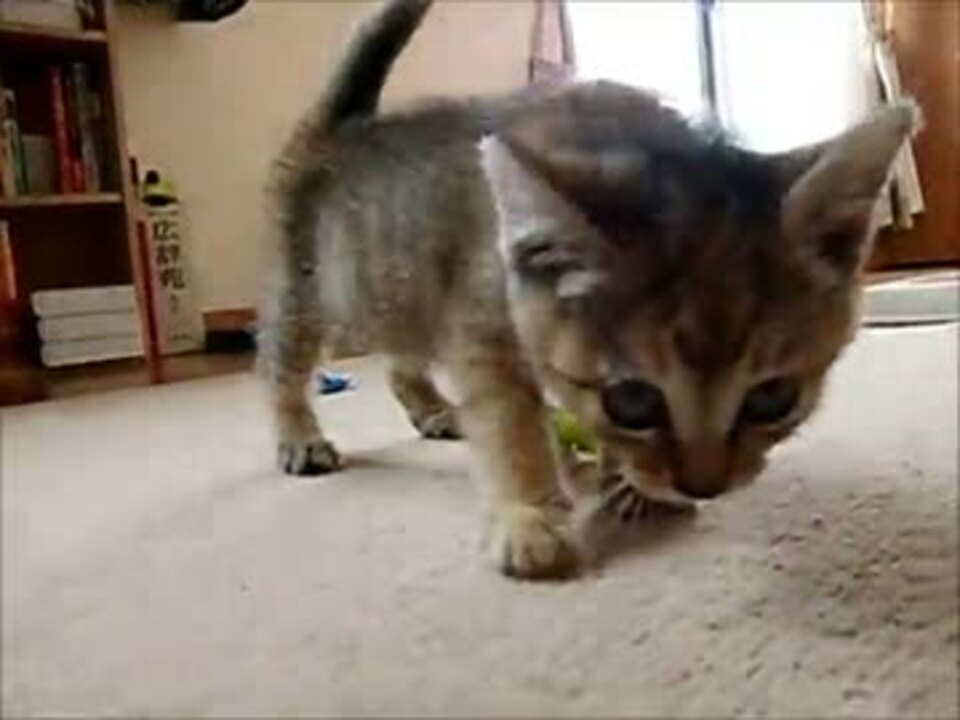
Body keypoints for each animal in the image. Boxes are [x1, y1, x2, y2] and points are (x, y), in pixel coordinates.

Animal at [258, 0, 920, 579]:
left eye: (772, 398)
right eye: (632, 400)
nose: (703, 485)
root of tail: (344, 126)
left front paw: (623, 481)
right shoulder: (482, 324)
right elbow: (510, 424)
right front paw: (530, 516)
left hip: (397, 290)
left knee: (401, 353)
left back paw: (432, 408)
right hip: (312, 290)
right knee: (282, 362)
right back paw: (300, 436)